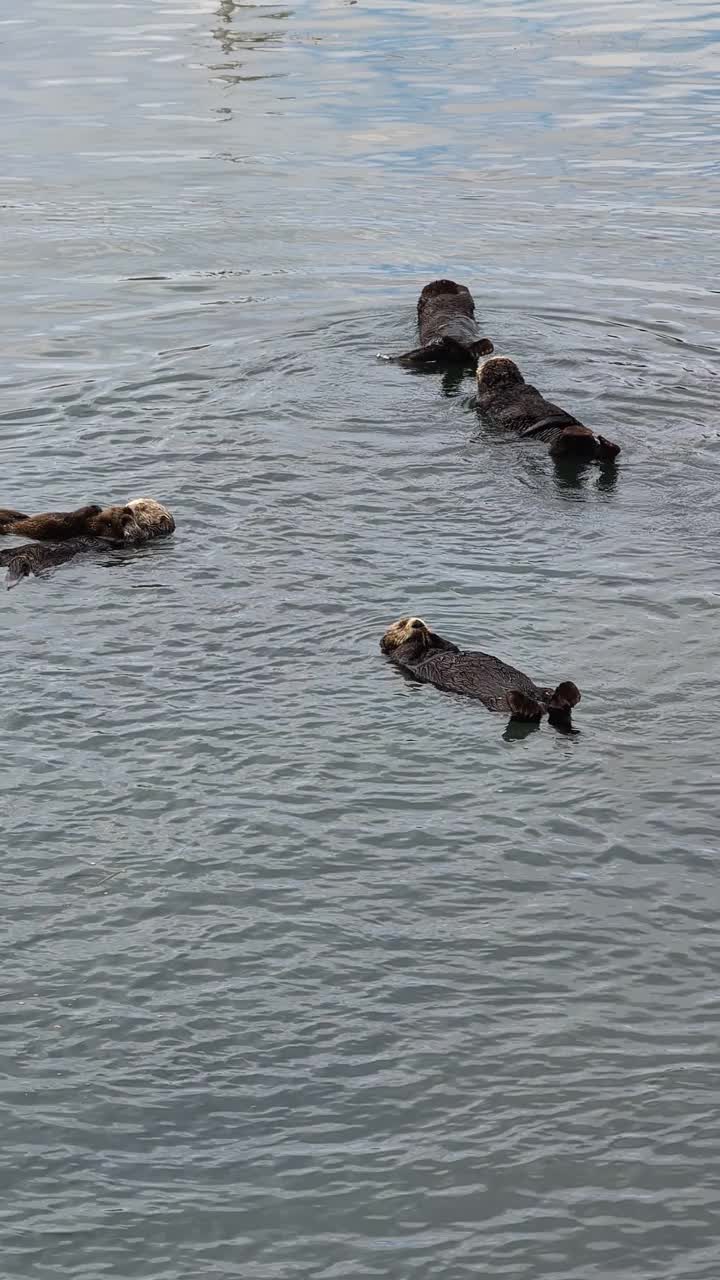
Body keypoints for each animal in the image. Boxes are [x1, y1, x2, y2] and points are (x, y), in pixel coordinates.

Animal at [381, 614, 576, 727]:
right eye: (401, 624)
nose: (417, 623)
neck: (428, 649)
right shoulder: (402, 658)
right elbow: (407, 651)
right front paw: (417, 635)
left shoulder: (448, 648)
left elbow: (450, 646)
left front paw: (429, 633)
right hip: (500, 704)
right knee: (529, 713)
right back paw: (521, 700)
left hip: (541, 692)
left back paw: (567, 691)